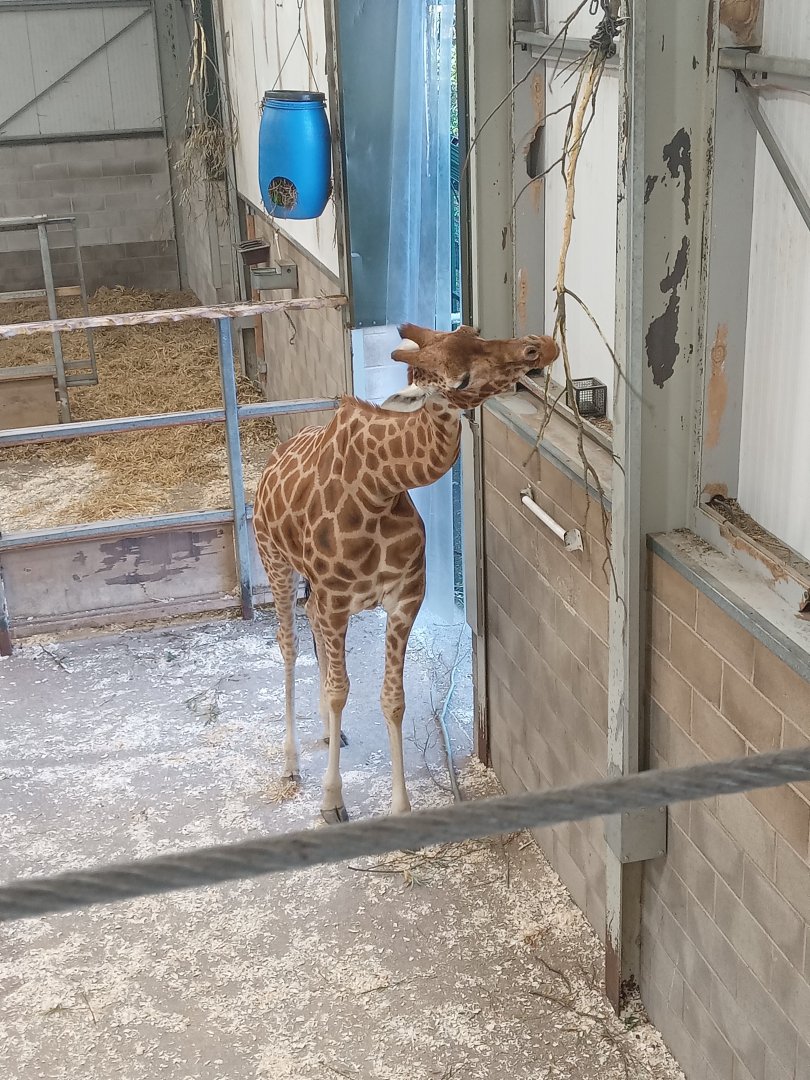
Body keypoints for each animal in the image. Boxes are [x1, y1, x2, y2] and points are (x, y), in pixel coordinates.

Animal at [253, 323, 559, 823]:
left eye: (474, 332)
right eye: (460, 380)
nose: (540, 346)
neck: (380, 489)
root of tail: (271, 462)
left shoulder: (404, 597)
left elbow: (391, 700)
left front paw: (400, 806)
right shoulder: (337, 601)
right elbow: (341, 691)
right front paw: (332, 801)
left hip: (315, 592)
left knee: (308, 624)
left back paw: (330, 732)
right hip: (275, 561)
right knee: (289, 644)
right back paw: (291, 765)